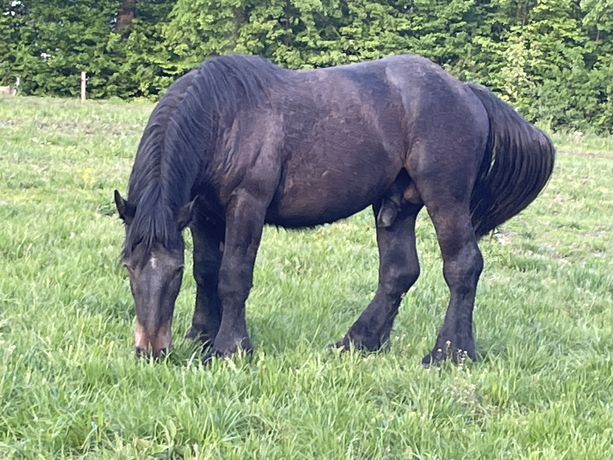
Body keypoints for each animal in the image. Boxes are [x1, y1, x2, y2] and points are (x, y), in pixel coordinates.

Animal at [115, 54, 556, 364]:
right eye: (129, 267)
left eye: (172, 273)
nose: (150, 350)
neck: (226, 118)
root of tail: (465, 91)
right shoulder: (203, 213)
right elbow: (207, 273)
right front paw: (201, 337)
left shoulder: (247, 204)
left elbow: (232, 276)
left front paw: (230, 348)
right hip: (396, 205)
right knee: (399, 272)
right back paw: (359, 342)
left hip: (445, 197)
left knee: (463, 266)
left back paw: (450, 353)